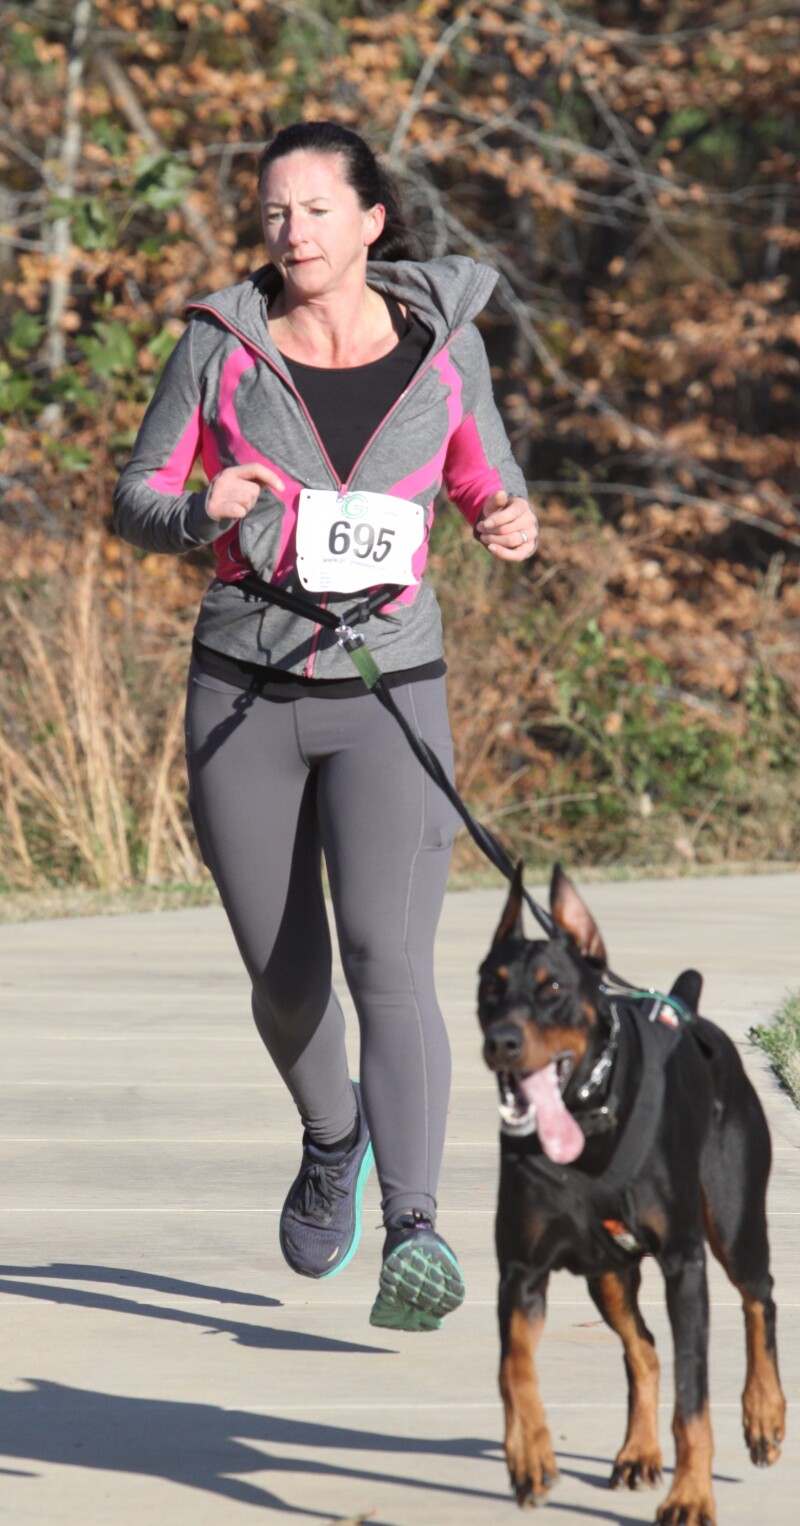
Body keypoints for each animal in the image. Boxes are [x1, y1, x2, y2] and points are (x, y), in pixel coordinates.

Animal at [479, 866, 781, 1519]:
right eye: (490, 988)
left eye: (553, 987)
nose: (501, 1042)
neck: (586, 1122)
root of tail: (691, 1016)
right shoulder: (520, 1271)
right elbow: (513, 1368)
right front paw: (530, 1455)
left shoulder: (684, 1264)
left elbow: (693, 1399)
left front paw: (691, 1496)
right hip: (608, 1270)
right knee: (641, 1347)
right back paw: (638, 1452)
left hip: (734, 1220)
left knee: (758, 1297)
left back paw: (765, 1415)